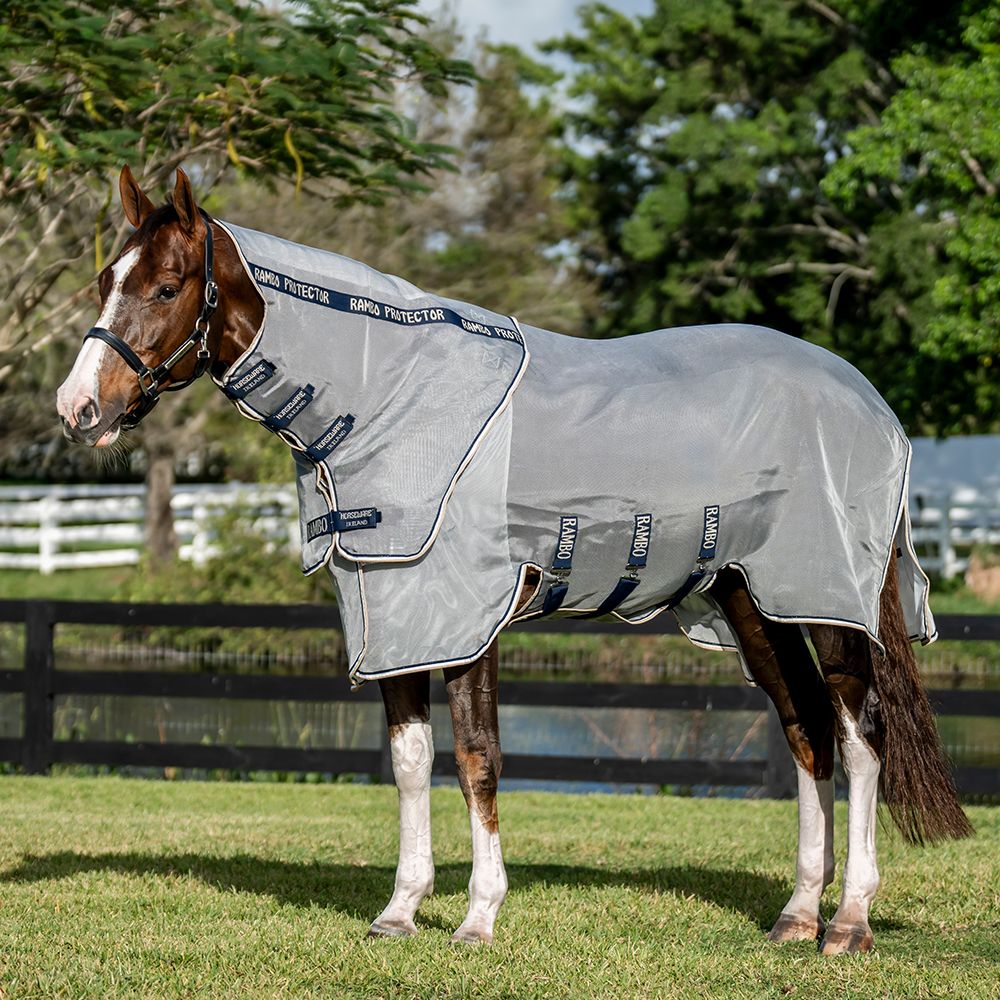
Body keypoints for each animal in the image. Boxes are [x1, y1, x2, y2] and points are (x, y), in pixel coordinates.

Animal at [56, 166, 971, 953]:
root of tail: (870, 402)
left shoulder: (470, 618)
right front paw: (400, 911)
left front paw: (478, 917)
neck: (389, 398)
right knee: (806, 727)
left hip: (830, 600)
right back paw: (795, 916)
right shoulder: (397, 613)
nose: (79, 408)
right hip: (756, 602)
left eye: (166, 287)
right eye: (106, 279)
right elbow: (410, 761)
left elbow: (477, 758)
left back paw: (848, 923)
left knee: (860, 734)